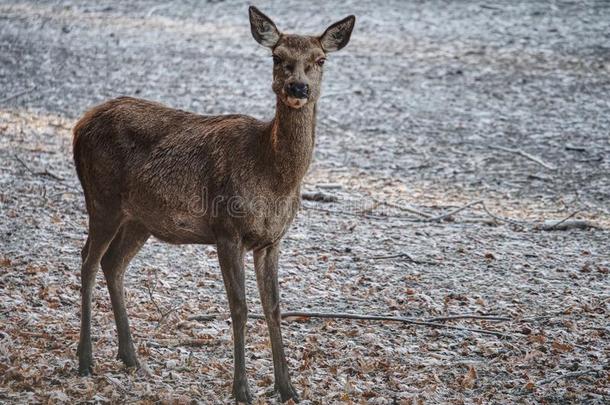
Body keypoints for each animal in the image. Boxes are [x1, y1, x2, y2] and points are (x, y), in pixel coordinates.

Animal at [73, 4, 354, 402]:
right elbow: (240, 307)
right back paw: (86, 360)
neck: (272, 175)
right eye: (277, 57)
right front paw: (242, 389)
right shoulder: (227, 229)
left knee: (113, 263)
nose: (297, 87)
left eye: (320, 60)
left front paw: (288, 388)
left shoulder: (272, 240)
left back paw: (130, 357)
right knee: (88, 261)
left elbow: (273, 307)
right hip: (102, 198)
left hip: (139, 218)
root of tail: (79, 125)